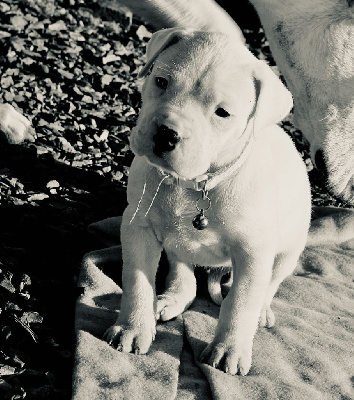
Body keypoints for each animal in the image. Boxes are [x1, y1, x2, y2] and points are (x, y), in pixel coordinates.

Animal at [103, 29, 312, 376]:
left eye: (222, 113)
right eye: (161, 81)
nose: (166, 134)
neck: (194, 184)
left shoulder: (254, 253)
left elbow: (241, 301)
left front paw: (230, 350)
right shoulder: (137, 227)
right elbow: (136, 280)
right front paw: (133, 328)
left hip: (288, 251)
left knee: (269, 286)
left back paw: (262, 312)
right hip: (177, 245)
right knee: (183, 273)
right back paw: (169, 299)